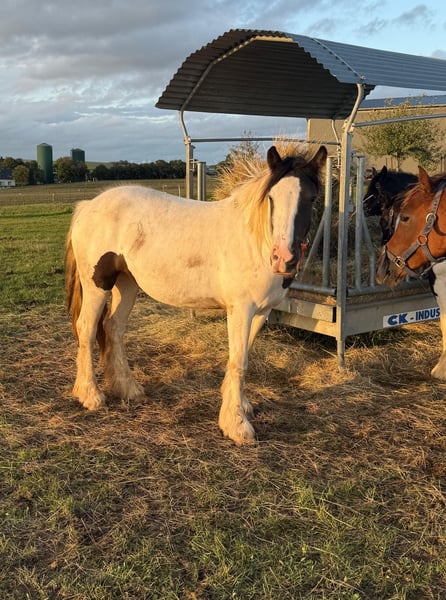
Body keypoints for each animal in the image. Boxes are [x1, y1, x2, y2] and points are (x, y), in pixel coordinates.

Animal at [65, 145, 327, 445]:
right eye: (272, 197)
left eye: (311, 198)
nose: (284, 258)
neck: (255, 241)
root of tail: (88, 206)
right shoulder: (241, 309)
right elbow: (239, 360)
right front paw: (236, 425)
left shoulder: (262, 311)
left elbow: (244, 354)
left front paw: (240, 405)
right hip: (96, 285)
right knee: (87, 329)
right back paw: (90, 395)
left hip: (127, 283)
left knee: (113, 327)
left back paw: (129, 389)